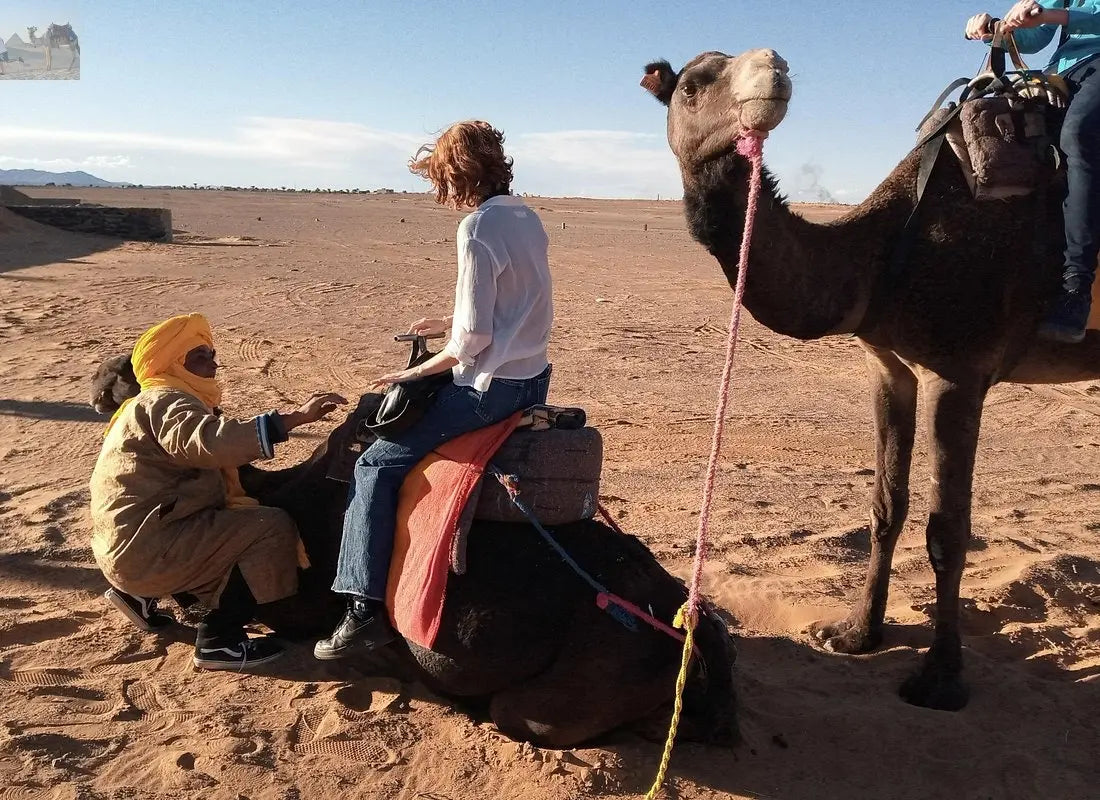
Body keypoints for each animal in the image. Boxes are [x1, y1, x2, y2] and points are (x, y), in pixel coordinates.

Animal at [642, 48, 1100, 711]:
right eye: (694, 86)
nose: (774, 66)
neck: (882, 257)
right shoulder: (888, 367)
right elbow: (886, 503)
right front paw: (858, 632)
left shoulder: (956, 373)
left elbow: (947, 531)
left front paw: (940, 678)